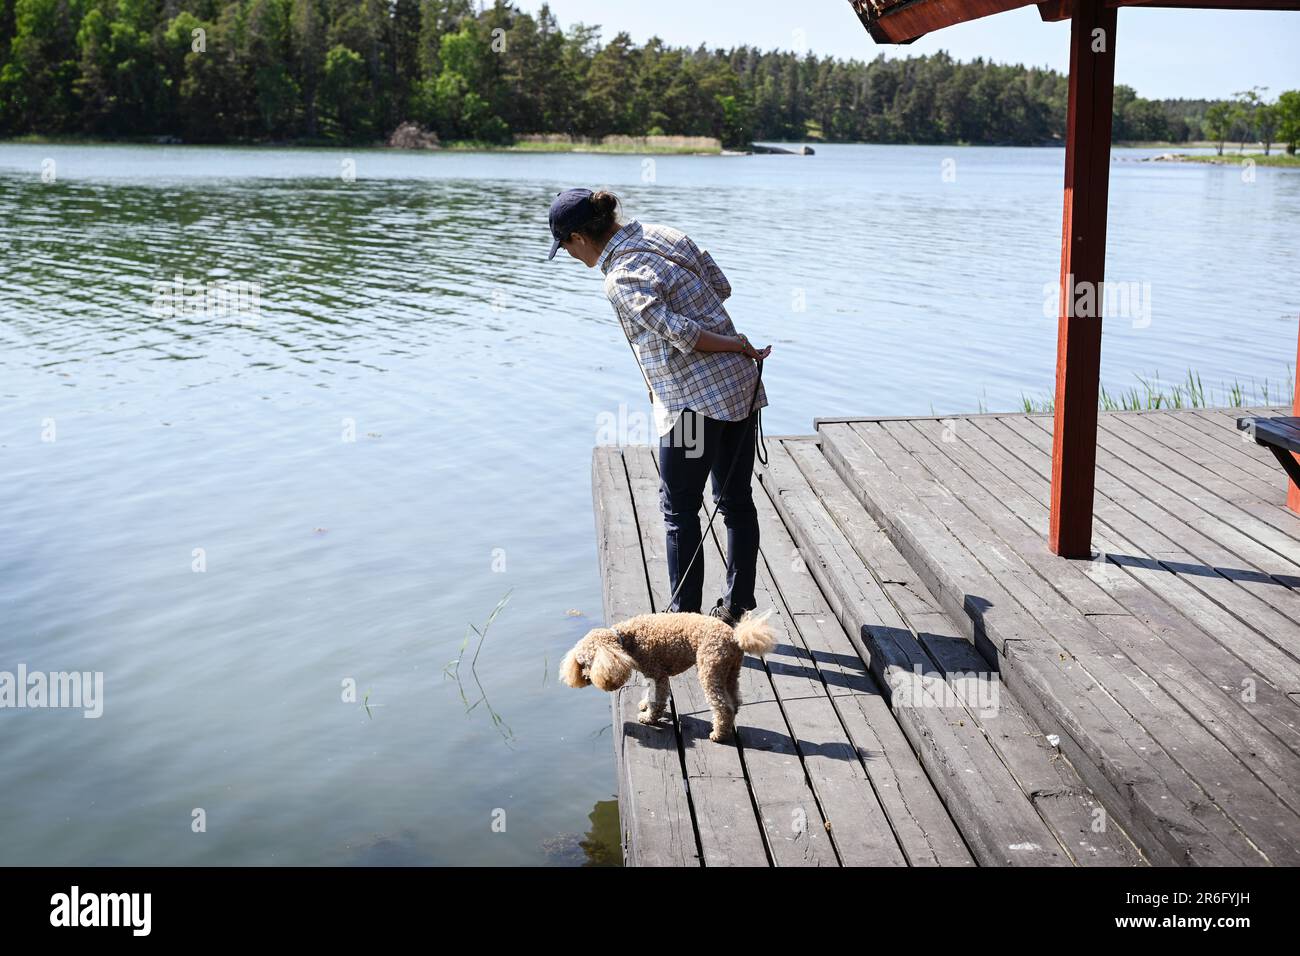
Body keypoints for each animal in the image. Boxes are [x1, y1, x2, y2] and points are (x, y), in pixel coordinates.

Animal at [556, 613, 769, 738]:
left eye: (588, 663)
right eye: (581, 664)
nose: (585, 677)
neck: (626, 639)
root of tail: (734, 637)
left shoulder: (658, 675)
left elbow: (657, 700)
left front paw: (649, 718)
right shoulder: (651, 674)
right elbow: (649, 693)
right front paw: (644, 705)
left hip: (710, 669)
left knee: (722, 706)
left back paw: (719, 734)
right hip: (730, 671)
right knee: (734, 700)